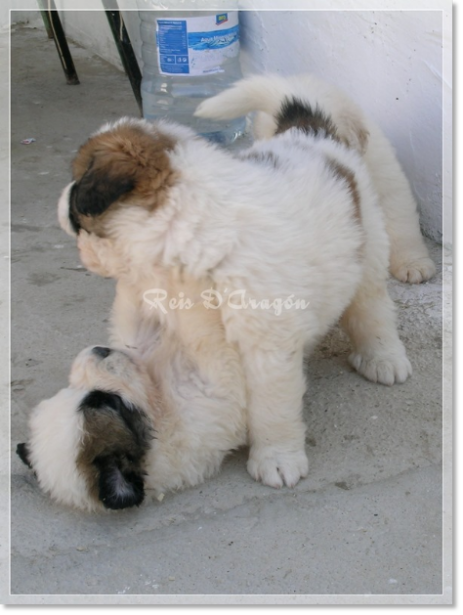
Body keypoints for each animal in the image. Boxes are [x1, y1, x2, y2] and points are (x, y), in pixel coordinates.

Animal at [51, 76, 414, 490]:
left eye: (76, 184)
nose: (59, 201)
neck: (187, 231)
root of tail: (309, 131)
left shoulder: (266, 340)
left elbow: (271, 406)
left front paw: (277, 458)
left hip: (367, 247)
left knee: (371, 308)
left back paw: (383, 358)